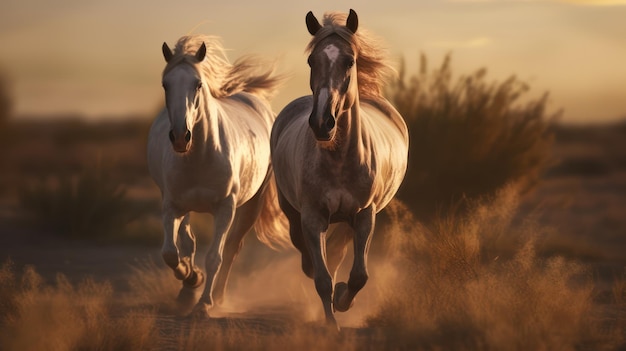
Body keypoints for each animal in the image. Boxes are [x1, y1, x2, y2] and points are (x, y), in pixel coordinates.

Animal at [147, 34, 288, 318]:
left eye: (198, 84)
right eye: (166, 84)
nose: (180, 137)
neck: (201, 156)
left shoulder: (225, 208)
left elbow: (215, 256)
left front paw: (204, 303)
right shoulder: (171, 205)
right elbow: (170, 253)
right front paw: (192, 279)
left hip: (251, 204)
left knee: (232, 247)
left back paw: (220, 297)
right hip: (186, 207)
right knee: (187, 243)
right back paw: (187, 290)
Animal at [270, 10, 408, 330]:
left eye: (349, 61)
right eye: (312, 61)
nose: (323, 123)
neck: (339, 160)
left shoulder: (365, 215)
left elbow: (359, 275)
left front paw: (344, 300)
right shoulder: (311, 217)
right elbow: (321, 277)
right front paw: (332, 323)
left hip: (349, 220)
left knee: (339, 253)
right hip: (293, 212)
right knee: (311, 255)